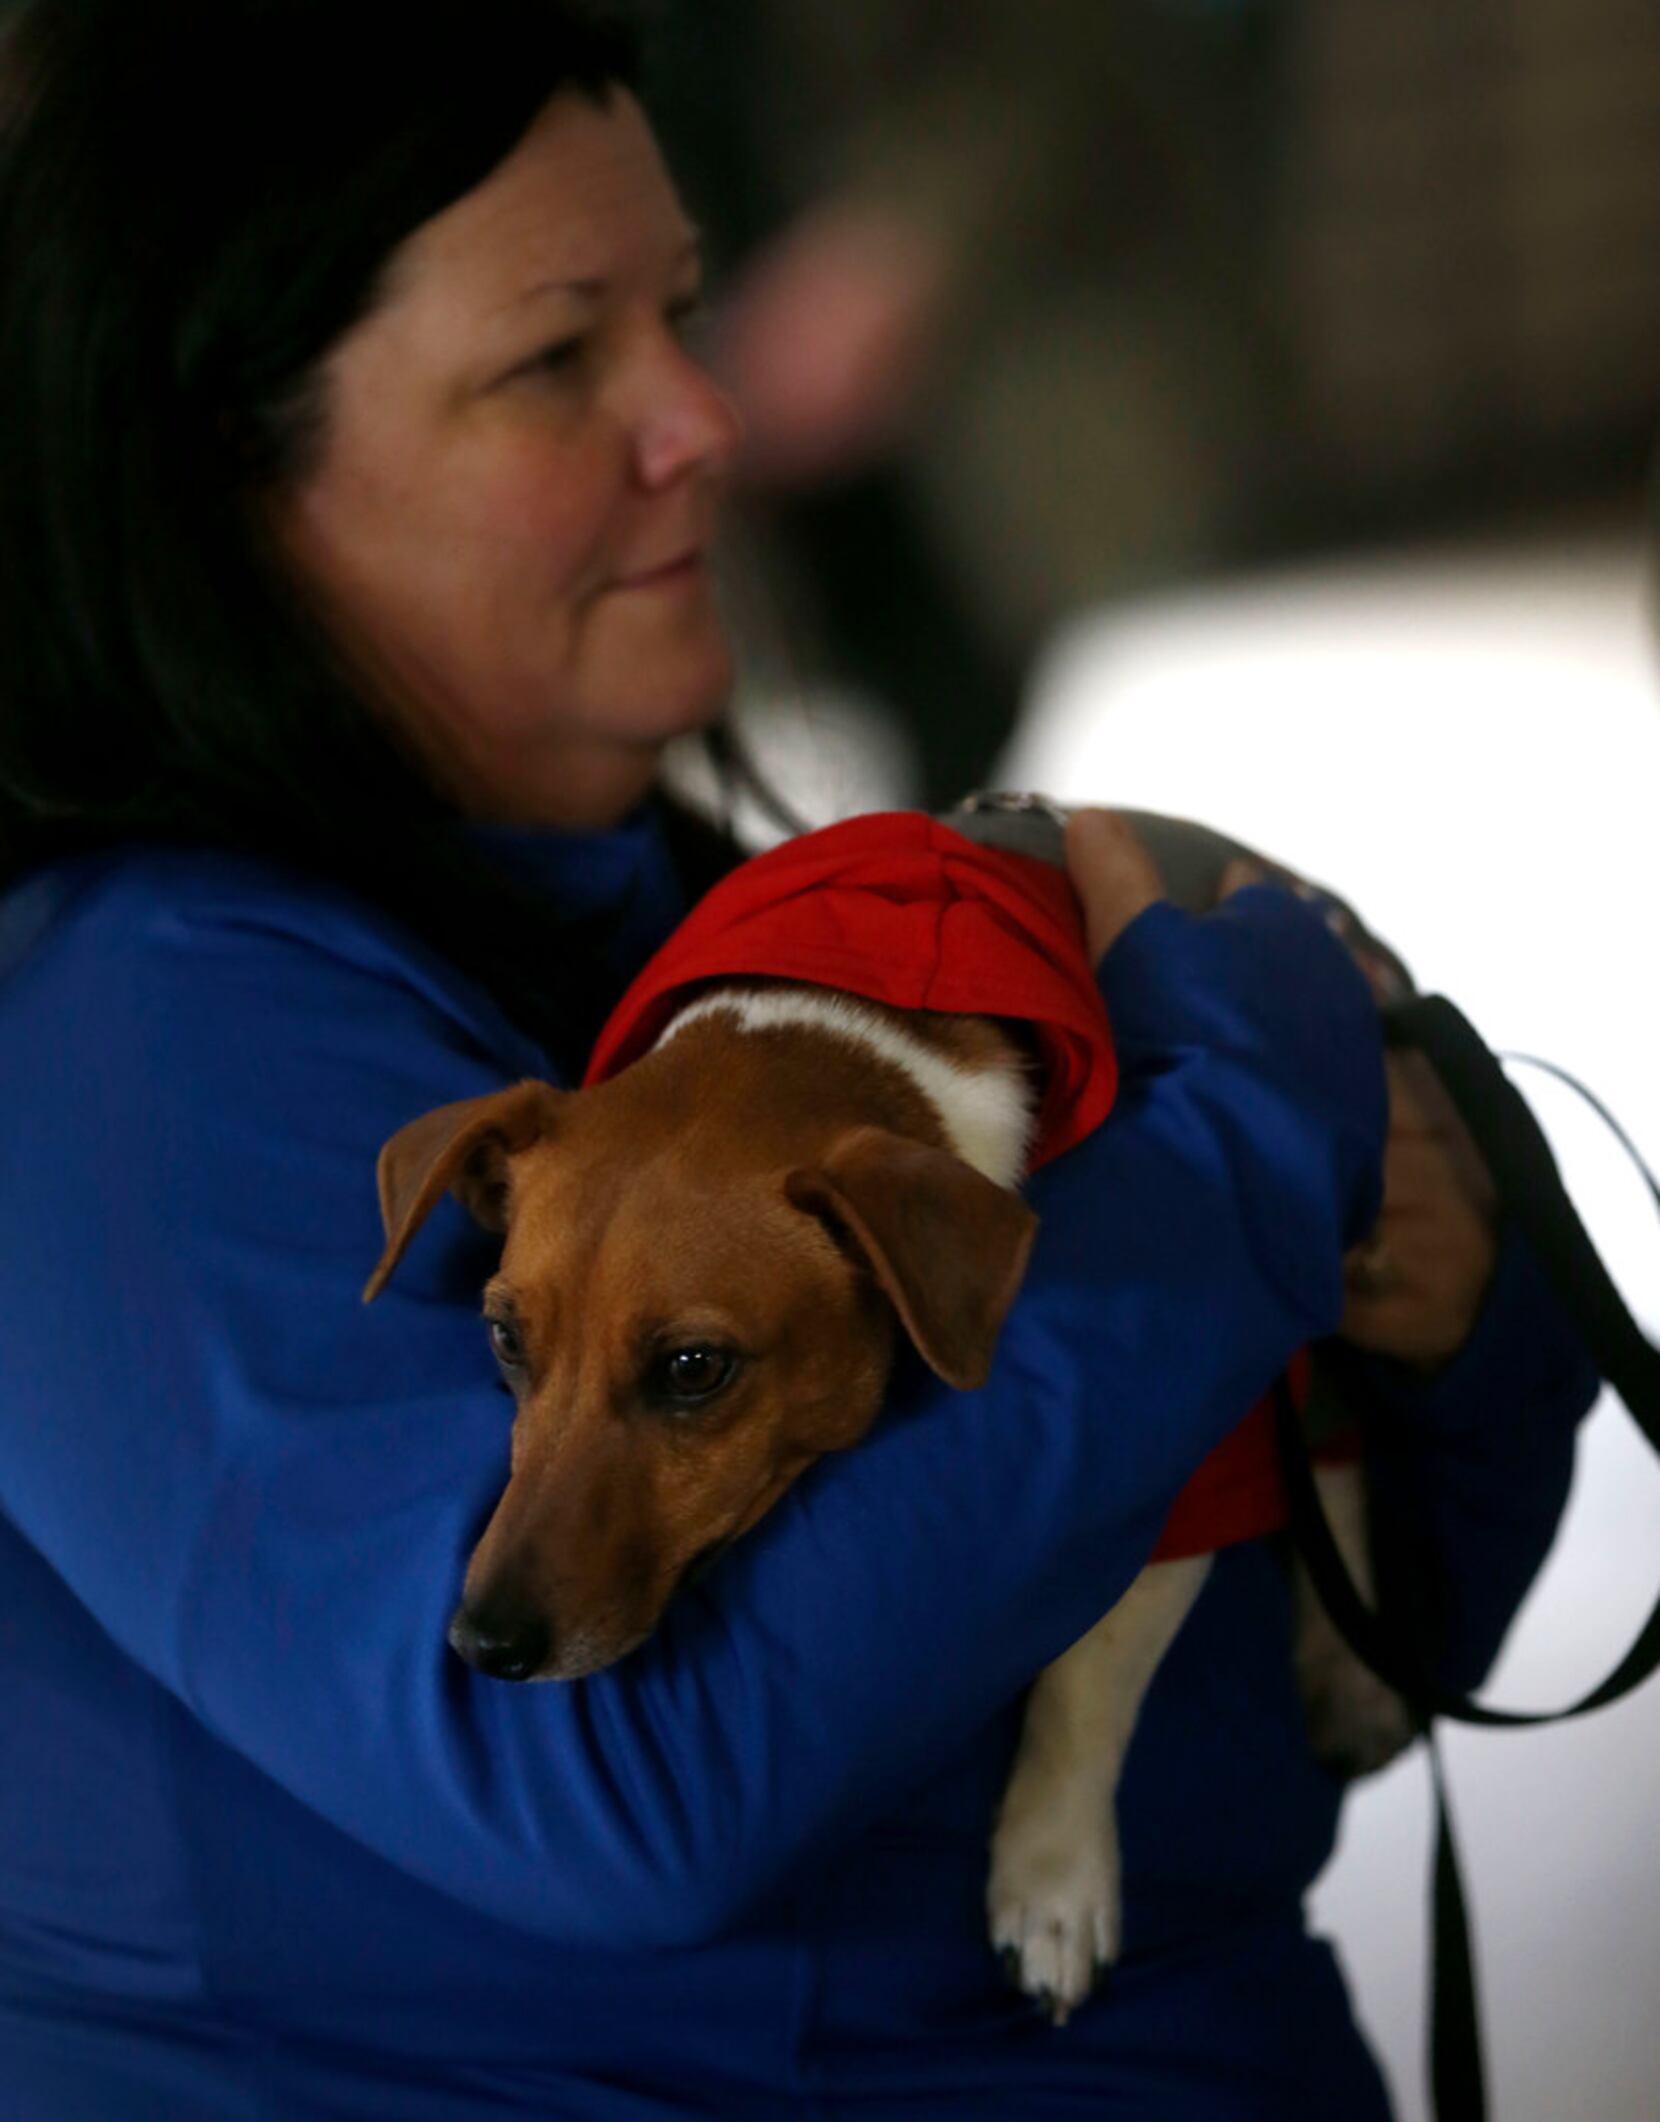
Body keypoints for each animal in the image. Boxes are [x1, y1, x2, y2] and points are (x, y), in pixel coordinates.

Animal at [367, 806, 1418, 2020]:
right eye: (504, 1338)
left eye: (692, 1368)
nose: (480, 1644)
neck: (847, 1032)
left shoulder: (1194, 1448)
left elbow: (1090, 1669)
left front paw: (1052, 1880)